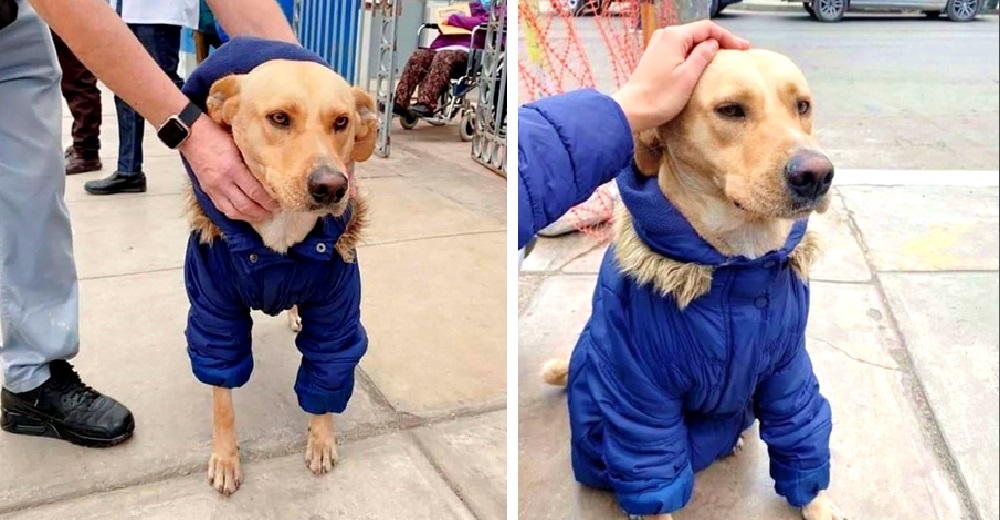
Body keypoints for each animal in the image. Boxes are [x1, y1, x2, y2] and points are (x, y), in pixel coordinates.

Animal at [178, 37, 376, 496]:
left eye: (342, 122)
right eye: (280, 118)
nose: (332, 187)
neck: (281, 234)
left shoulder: (337, 309)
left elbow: (327, 370)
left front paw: (321, 438)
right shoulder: (216, 312)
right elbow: (223, 398)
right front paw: (226, 457)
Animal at [544, 49, 848, 520]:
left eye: (802, 106)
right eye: (731, 110)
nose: (816, 174)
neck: (742, 264)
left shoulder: (787, 367)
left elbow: (799, 430)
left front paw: (814, 500)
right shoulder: (641, 393)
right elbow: (652, 470)